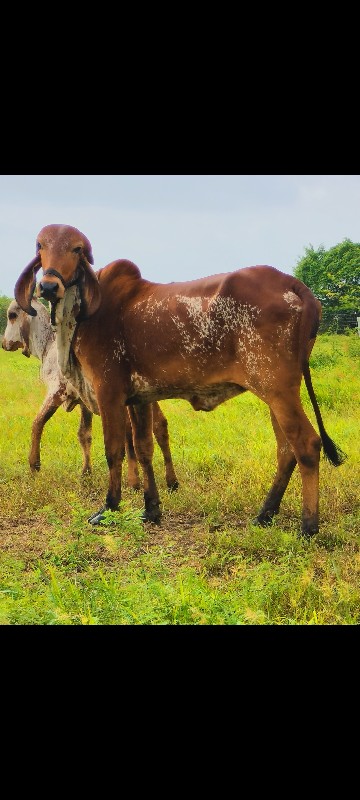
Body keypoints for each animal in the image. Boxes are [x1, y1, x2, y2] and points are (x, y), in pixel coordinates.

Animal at [14, 223, 346, 536]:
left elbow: (114, 450)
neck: (85, 312)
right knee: (286, 450)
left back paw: (308, 526)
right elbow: (143, 448)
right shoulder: (139, 398)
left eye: (77, 249)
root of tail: (294, 284)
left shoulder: (109, 392)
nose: (48, 285)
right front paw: (151, 510)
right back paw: (265, 514)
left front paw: (109, 507)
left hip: (277, 389)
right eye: (40, 246)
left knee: (306, 445)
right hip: (276, 394)